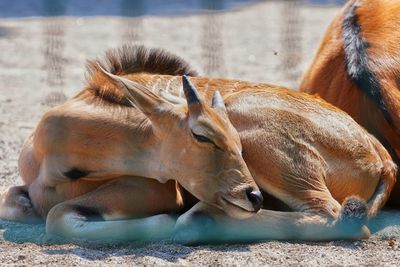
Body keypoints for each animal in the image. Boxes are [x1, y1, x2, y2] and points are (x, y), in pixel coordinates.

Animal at [0, 45, 396, 244]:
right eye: (201, 135)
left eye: (231, 141)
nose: (252, 195)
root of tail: (381, 156)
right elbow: (18, 204)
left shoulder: (156, 188)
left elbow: (57, 216)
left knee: (333, 215)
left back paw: (200, 218)